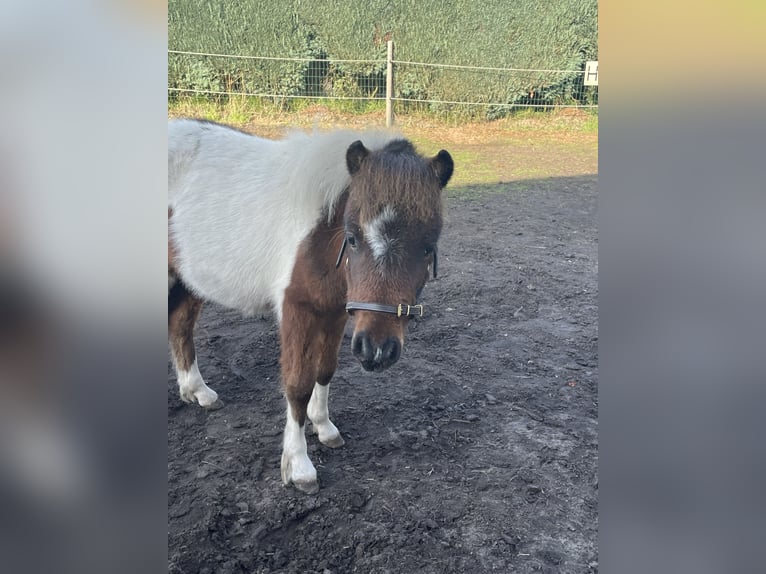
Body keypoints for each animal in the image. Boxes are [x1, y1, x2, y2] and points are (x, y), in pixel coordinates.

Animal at [167, 119, 452, 492]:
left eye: (427, 248)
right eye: (352, 238)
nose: (377, 351)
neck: (320, 239)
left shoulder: (334, 313)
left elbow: (325, 369)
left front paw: (324, 427)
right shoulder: (297, 311)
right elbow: (298, 385)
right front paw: (299, 465)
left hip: (187, 280)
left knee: (180, 326)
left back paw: (197, 391)